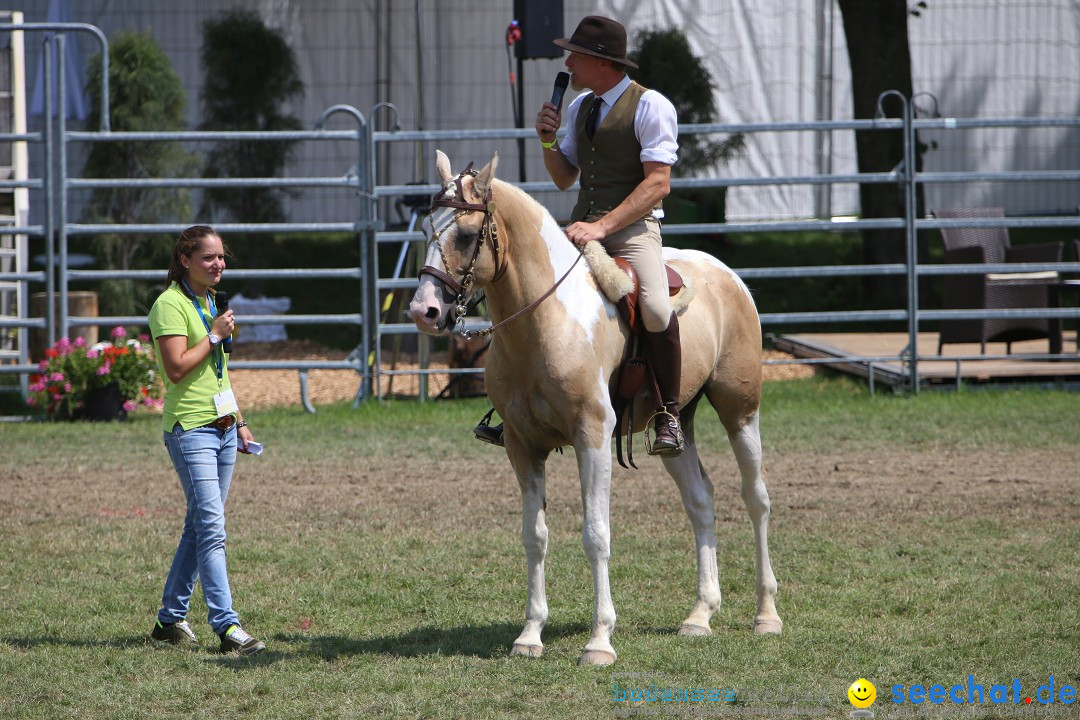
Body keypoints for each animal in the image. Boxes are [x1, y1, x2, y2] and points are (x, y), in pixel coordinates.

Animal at [408, 151, 781, 664]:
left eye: (465, 234)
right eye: (428, 229)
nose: (423, 311)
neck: (547, 322)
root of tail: (726, 275)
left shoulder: (593, 439)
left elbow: (596, 535)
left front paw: (600, 640)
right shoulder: (523, 448)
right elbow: (535, 538)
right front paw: (530, 635)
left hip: (740, 411)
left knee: (756, 499)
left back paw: (766, 614)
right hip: (676, 426)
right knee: (700, 500)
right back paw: (700, 615)